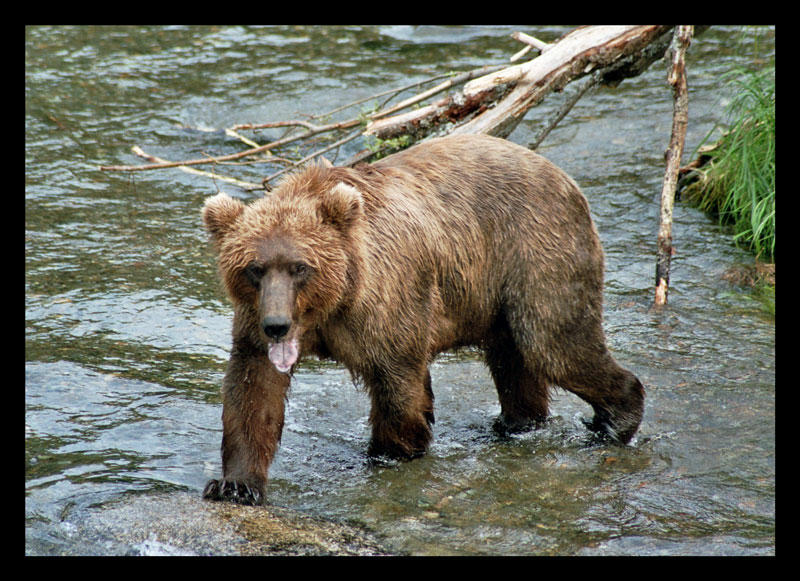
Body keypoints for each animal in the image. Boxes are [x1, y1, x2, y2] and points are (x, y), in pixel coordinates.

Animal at [200, 133, 644, 502]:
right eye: (254, 269)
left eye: (300, 267)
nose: (276, 325)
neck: (332, 305)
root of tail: (563, 176)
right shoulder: (256, 323)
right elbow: (254, 390)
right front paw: (235, 485)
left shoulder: (387, 304)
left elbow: (398, 384)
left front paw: (388, 453)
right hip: (499, 293)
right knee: (514, 361)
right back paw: (518, 424)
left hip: (535, 253)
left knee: (555, 344)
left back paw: (614, 421)